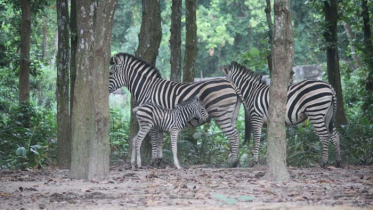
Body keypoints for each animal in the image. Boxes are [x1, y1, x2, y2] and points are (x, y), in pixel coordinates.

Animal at [107, 53, 247, 167]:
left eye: (110, 73)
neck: (147, 87)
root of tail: (231, 84)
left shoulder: (153, 117)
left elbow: (154, 139)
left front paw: (153, 162)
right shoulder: (160, 118)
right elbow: (159, 139)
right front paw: (159, 160)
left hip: (221, 115)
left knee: (233, 135)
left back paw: (233, 163)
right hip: (232, 115)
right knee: (236, 134)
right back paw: (236, 162)